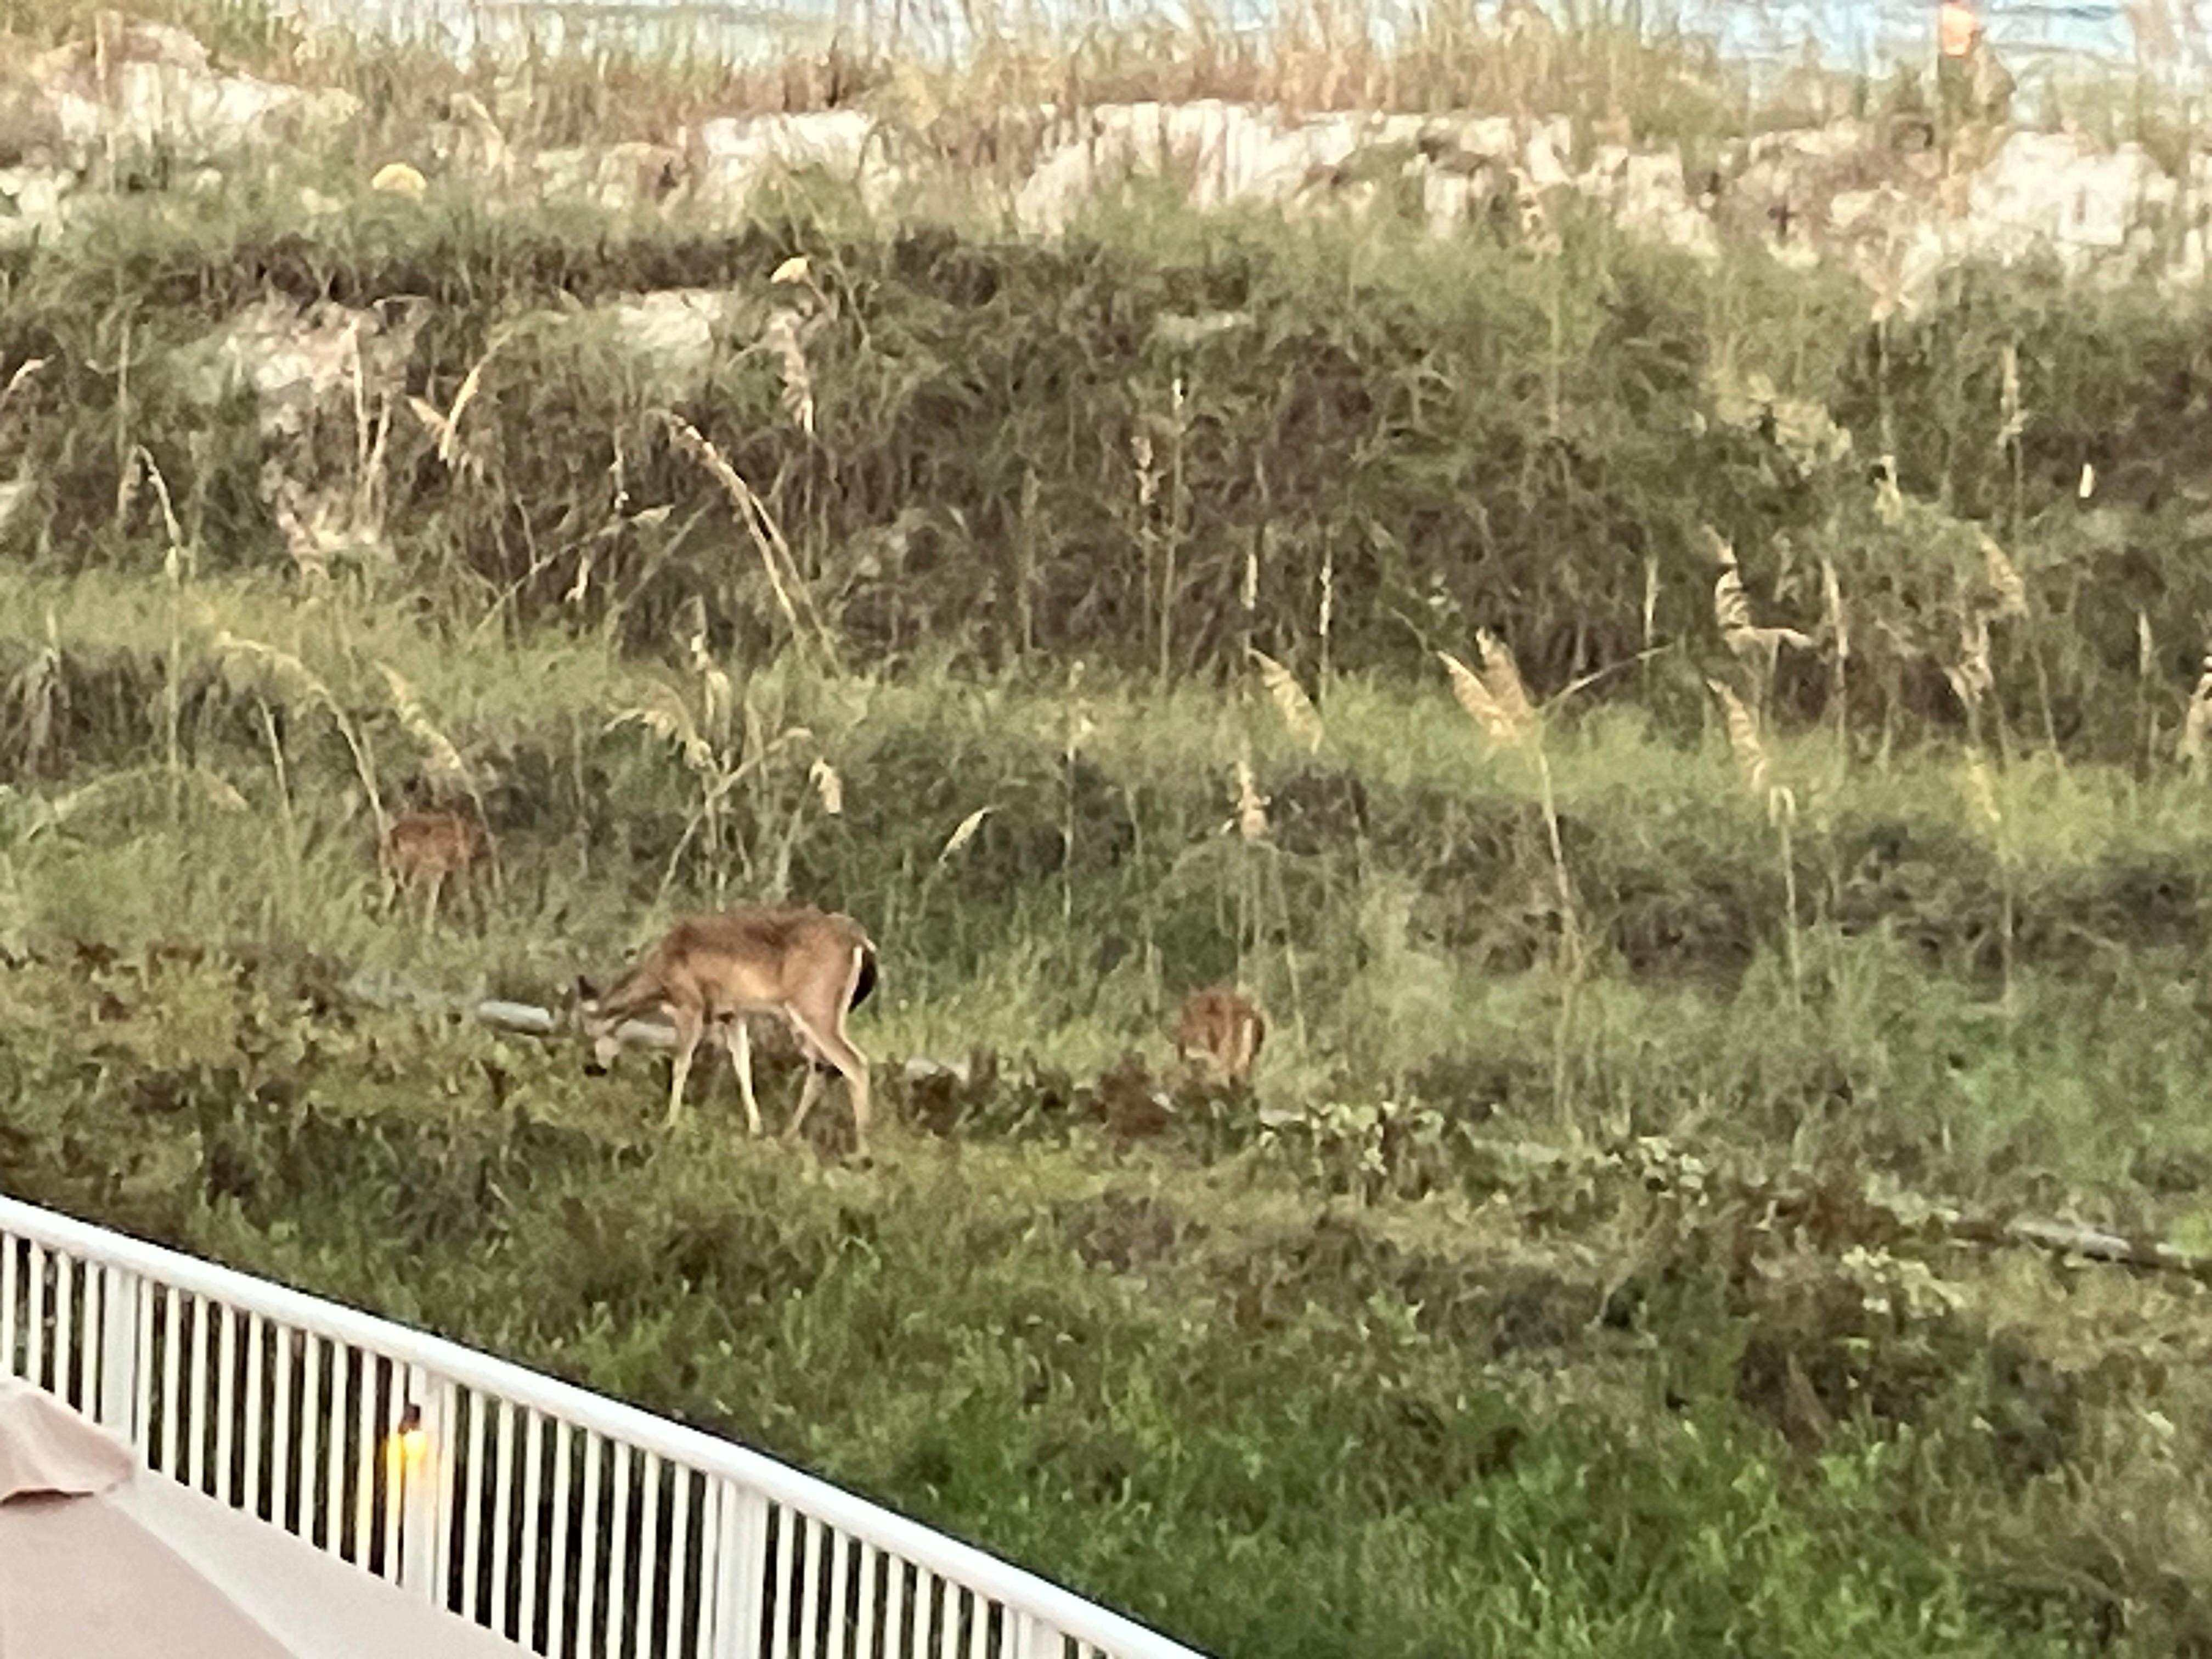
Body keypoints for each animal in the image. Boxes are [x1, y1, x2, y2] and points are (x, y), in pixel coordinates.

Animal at [574, 906, 878, 1158]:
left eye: (592, 1034)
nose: (591, 1068)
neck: (661, 978)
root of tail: (860, 941)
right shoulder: (732, 1014)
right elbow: (743, 1066)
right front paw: (755, 1129)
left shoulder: (692, 1006)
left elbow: (681, 1064)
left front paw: (668, 1125)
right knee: (823, 1067)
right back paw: (788, 1136)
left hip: (815, 1007)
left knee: (855, 1063)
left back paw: (862, 1153)